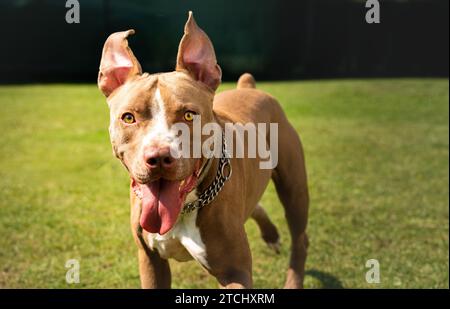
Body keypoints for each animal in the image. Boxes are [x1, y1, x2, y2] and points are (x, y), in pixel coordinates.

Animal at [97, 11, 310, 286]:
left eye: (189, 115)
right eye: (129, 117)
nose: (158, 157)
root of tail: (249, 88)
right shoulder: (150, 261)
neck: (184, 207)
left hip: (294, 188)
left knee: (299, 238)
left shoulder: (235, 271)